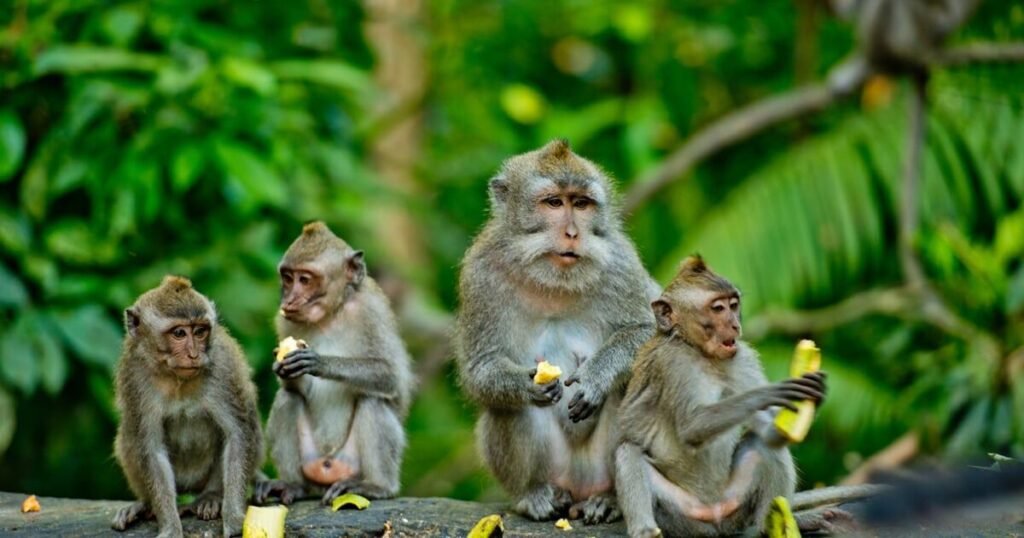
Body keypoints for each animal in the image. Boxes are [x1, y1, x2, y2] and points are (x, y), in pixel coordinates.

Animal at [111, 276, 263, 538]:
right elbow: (151, 449)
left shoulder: (222, 366)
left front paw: (234, 520)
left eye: (200, 331)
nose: (193, 354)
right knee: (128, 436)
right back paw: (144, 504)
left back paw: (210, 497)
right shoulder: (134, 375)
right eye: (179, 333)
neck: (175, 378)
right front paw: (170, 527)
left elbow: (238, 435)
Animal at [253, 221, 414, 506]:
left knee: (372, 400)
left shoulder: (371, 311)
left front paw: (319, 362)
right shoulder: (284, 322)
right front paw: (283, 369)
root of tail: (328, 467)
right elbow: (292, 389)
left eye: (305, 279)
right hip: (312, 461)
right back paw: (294, 485)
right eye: (288, 278)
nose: (289, 300)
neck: (330, 315)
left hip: (350, 462)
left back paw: (377, 486)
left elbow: (390, 376)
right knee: (287, 399)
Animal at [454, 139, 659, 524]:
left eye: (581, 204)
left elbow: (652, 331)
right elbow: (481, 368)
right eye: (553, 203)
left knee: (632, 385)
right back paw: (534, 495)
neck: (553, 282)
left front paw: (596, 377)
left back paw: (610, 499)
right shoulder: (480, 273)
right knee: (505, 407)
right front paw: (527, 384)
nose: (573, 233)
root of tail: (579, 486)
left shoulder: (622, 263)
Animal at [614, 256, 843, 538]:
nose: (735, 324)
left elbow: (770, 435)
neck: (700, 353)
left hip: (735, 505)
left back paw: (775, 524)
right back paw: (646, 531)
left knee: (761, 444)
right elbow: (692, 426)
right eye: (718, 308)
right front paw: (769, 393)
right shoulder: (672, 364)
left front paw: (816, 394)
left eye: (734, 306)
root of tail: (714, 515)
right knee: (628, 452)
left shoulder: (742, 358)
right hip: (681, 516)